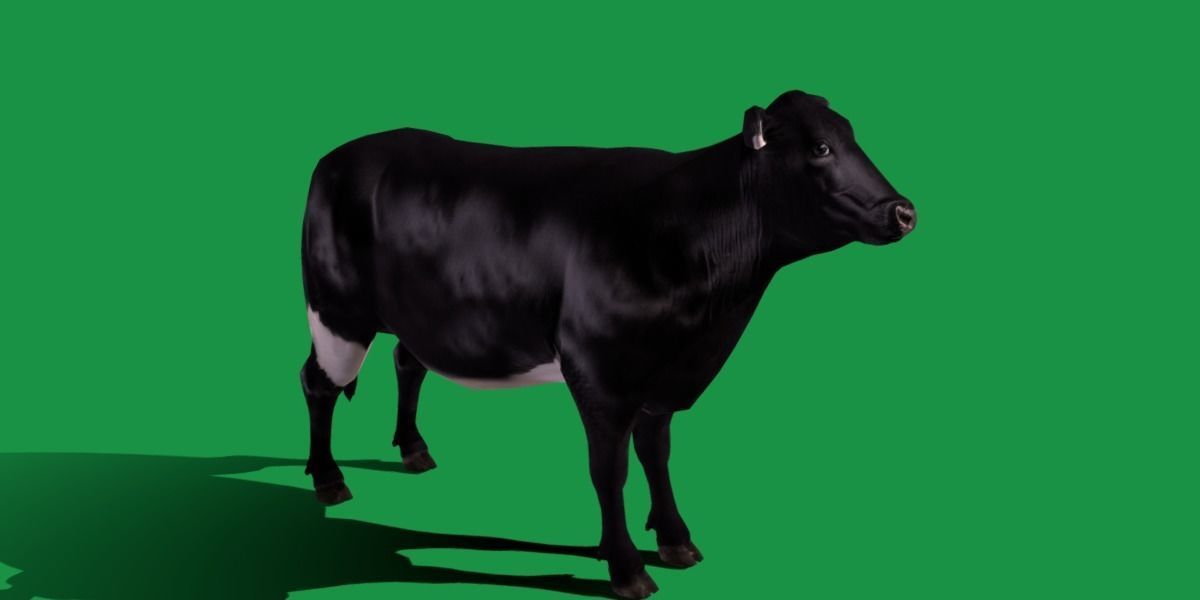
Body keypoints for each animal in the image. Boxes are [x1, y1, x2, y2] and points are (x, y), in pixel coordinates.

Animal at [299, 90, 917, 598]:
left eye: (852, 138)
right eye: (819, 148)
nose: (904, 211)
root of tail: (342, 154)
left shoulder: (664, 375)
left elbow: (656, 454)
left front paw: (675, 541)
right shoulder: (600, 372)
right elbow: (608, 470)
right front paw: (626, 568)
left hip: (412, 317)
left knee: (407, 362)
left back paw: (414, 450)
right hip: (337, 313)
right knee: (318, 383)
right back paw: (329, 480)